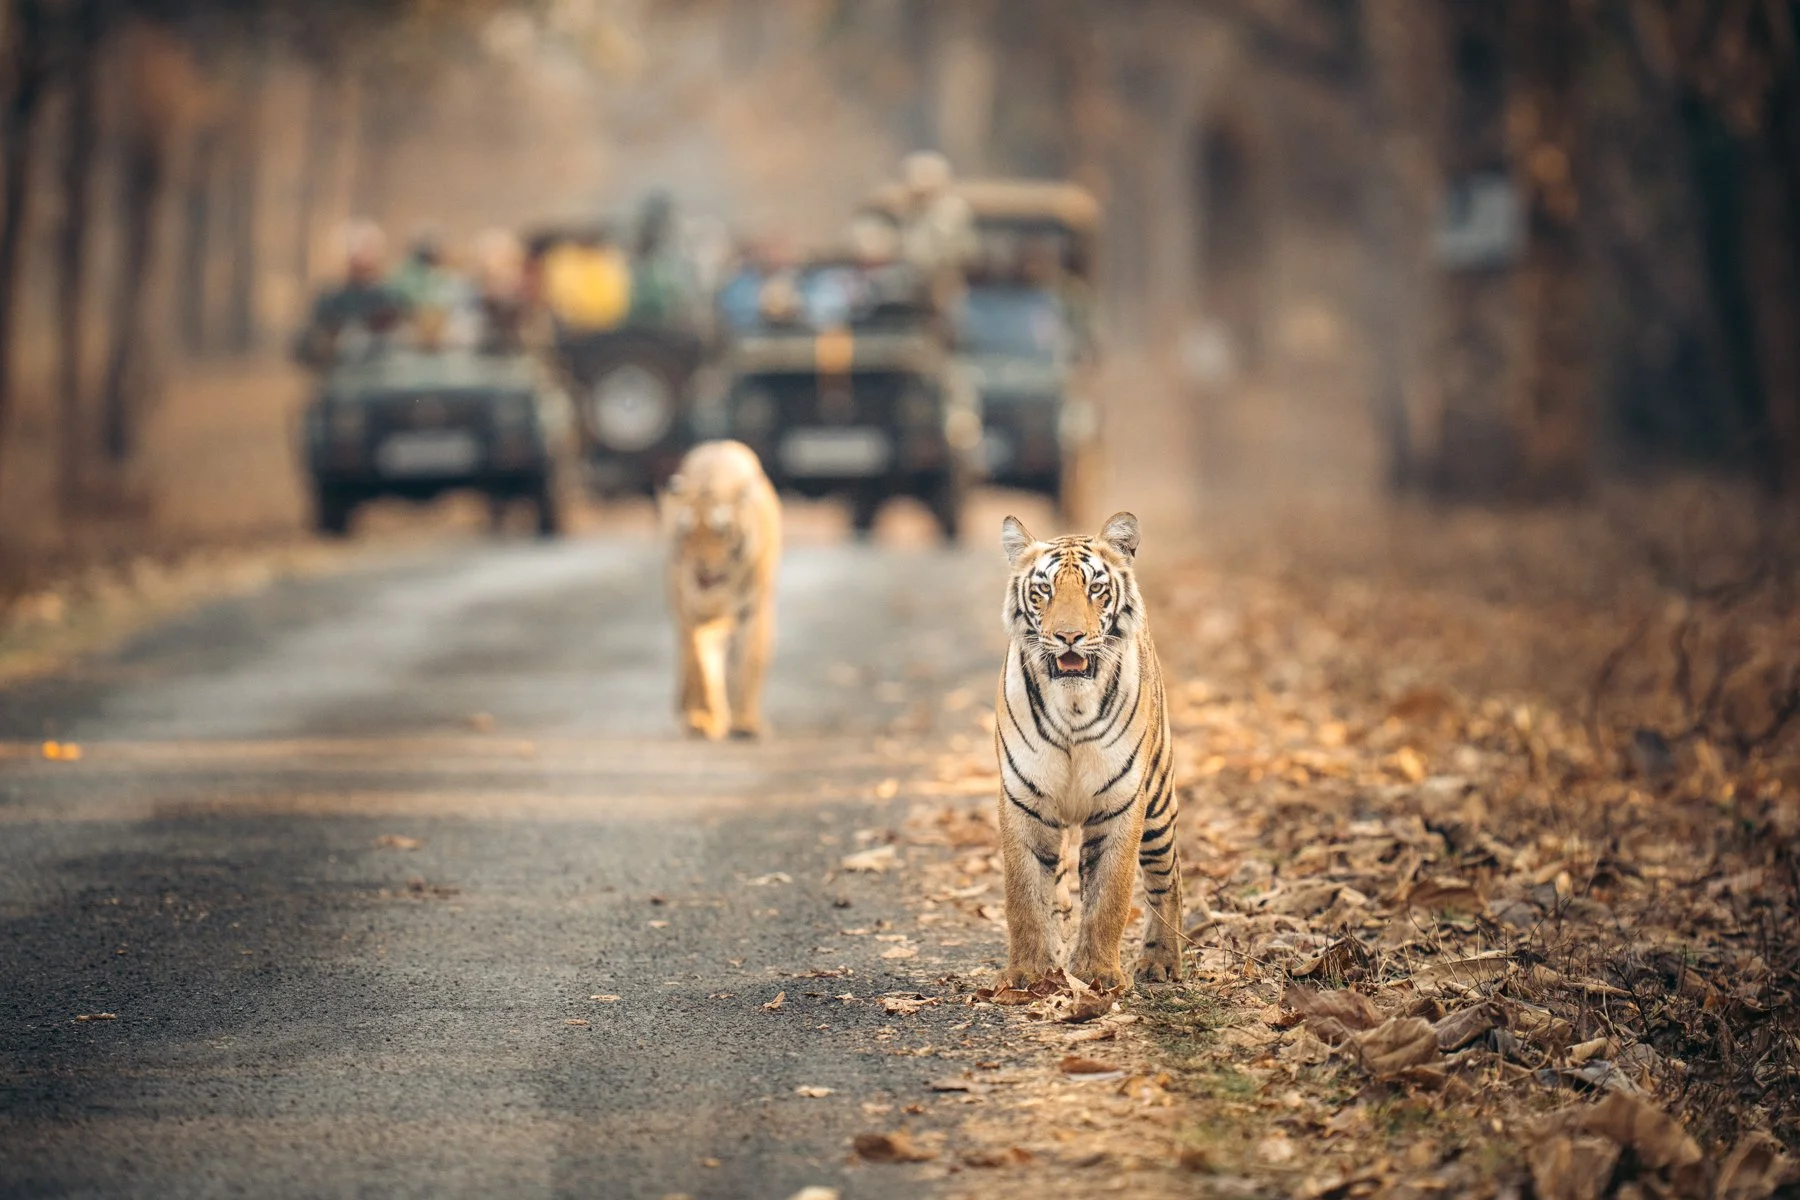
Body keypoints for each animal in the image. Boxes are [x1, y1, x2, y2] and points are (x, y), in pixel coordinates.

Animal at [661, 440, 782, 740]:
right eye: (688, 534)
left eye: (721, 533)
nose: (700, 567)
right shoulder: (691, 613)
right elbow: (699, 666)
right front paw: (702, 719)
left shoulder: (753, 610)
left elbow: (748, 663)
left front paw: (746, 723)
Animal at [993, 511, 1184, 991]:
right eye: (1043, 590)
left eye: (1095, 588)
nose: (1069, 636)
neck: (1073, 707)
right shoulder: (1024, 801)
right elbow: (1024, 896)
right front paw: (1028, 973)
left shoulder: (1121, 803)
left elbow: (1109, 897)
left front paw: (1098, 975)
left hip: (1159, 805)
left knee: (1167, 878)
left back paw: (1161, 962)